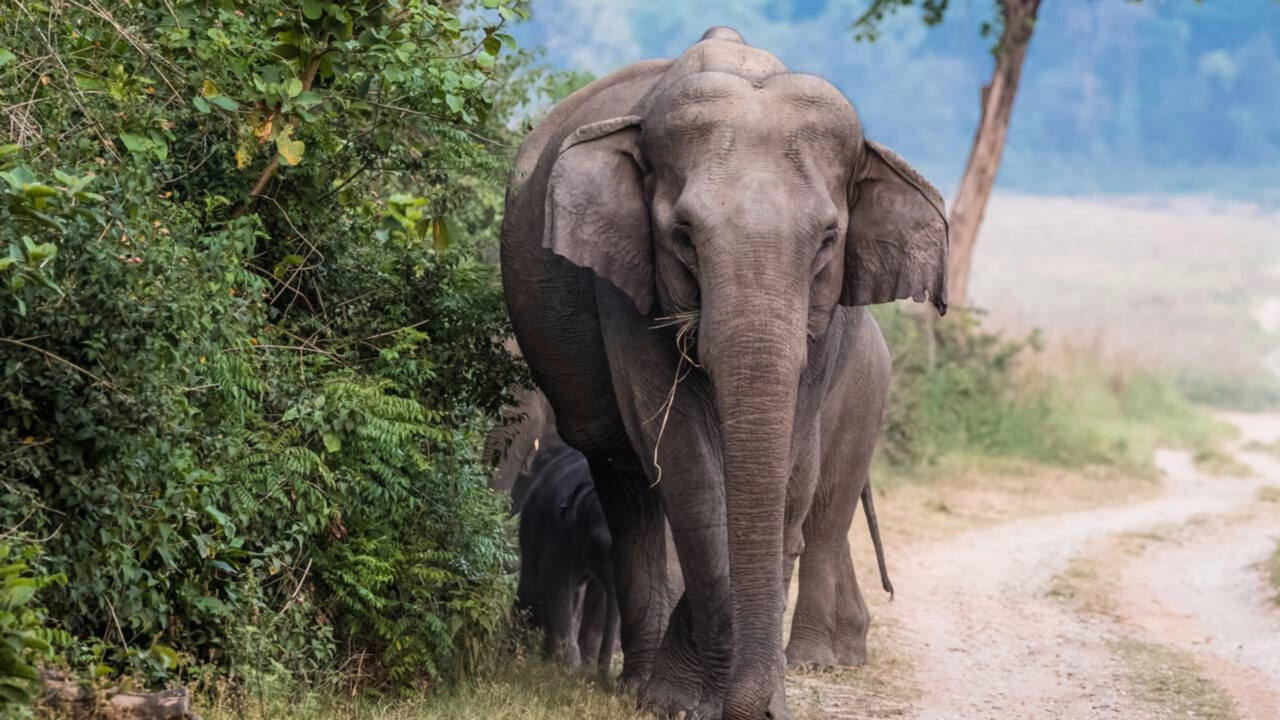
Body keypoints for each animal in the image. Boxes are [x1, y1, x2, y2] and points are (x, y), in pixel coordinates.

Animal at [514, 437, 619, 681]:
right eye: (597, 542)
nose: (605, 679)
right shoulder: (559, 531)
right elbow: (558, 587)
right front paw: (569, 668)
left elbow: (601, 597)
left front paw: (584, 666)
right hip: (531, 524)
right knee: (532, 584)